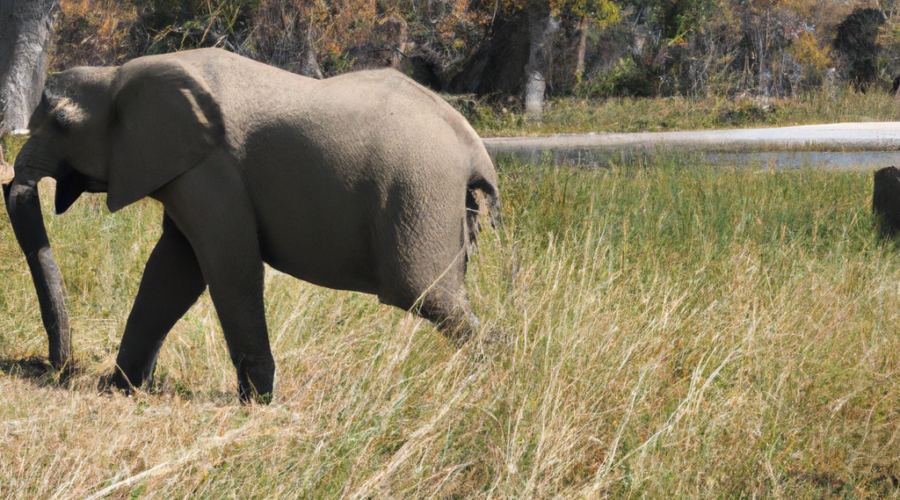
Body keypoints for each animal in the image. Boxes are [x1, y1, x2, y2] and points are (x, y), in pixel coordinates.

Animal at [5, 47, 500, 402]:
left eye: (62, 123)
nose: (60, 370)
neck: (117, 75)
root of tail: (475, 149)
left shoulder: (211, 169)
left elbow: (227, 266)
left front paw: (257, 404)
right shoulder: (188, 171)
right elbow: (172, 272)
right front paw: (120, 391)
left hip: (419, 193)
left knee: (423, 293)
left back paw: (493, 381)